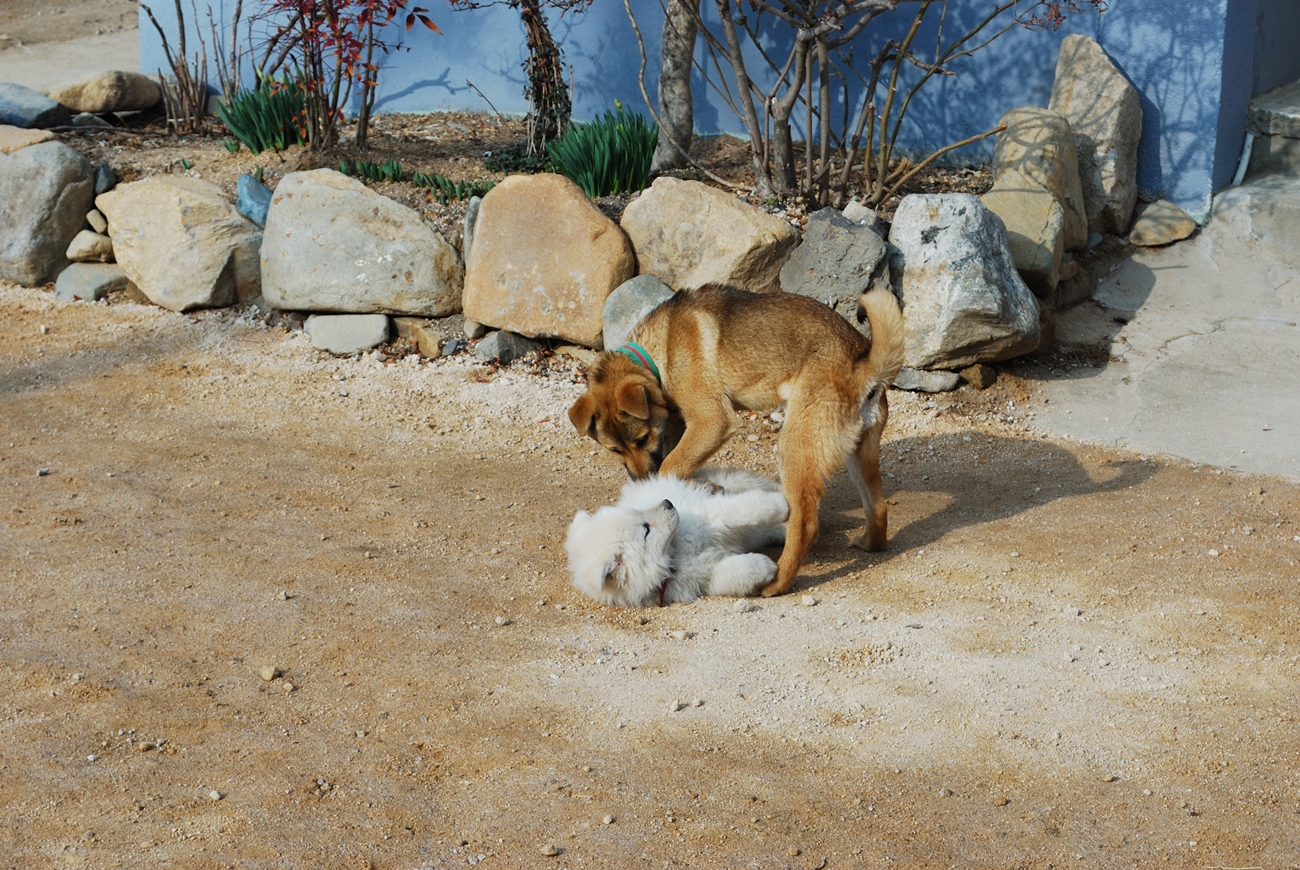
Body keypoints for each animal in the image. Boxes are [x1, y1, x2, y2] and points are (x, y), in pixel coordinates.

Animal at [566, 467, 789, 607]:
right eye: (646, 529)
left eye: (636, 511)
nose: (668, 502)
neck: (674, 555)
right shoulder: (699, 579)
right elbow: (732, 571)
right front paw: (764, 567)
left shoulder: (709, 515)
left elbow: (744, 509)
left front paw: (780, 505)